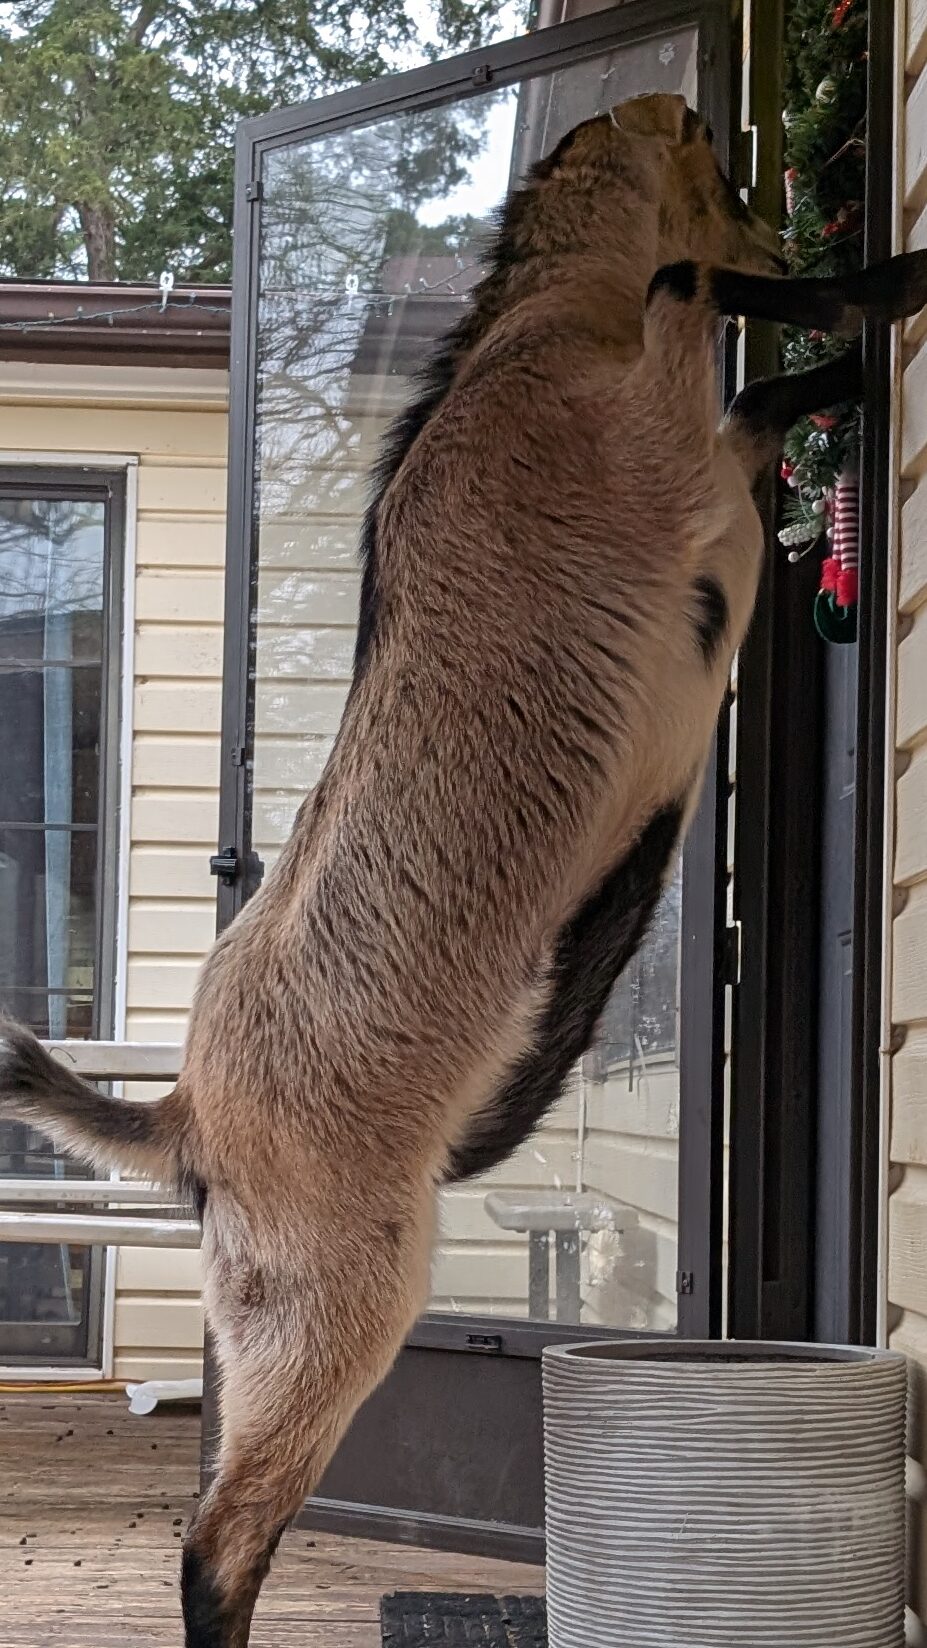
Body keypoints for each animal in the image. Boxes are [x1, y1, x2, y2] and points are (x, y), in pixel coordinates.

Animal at [1, 94, 925, 1647]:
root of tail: (190, 1111)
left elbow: (750, 391)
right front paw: (877, 291)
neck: (531, 340)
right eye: (725, 168)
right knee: (217, 1537)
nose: (789, 210)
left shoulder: (714, 473)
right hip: (337, 1301)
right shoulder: (665, 460)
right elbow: (699, 307)